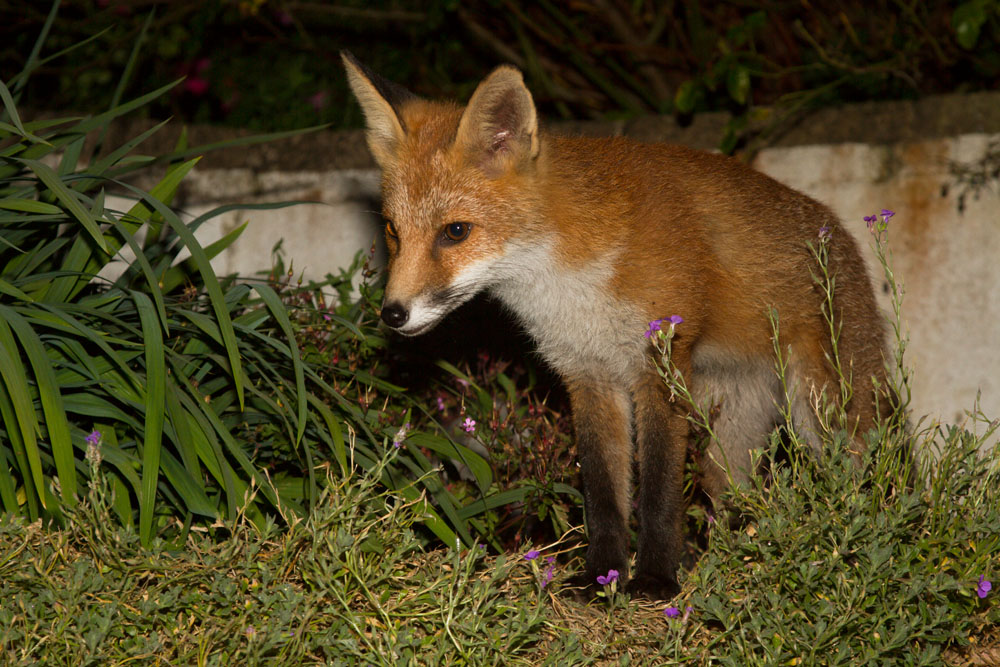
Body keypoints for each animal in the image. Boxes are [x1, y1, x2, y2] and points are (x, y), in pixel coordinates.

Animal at [341, 51, 890, 599]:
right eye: (392, 231)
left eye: (455, 232)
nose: (392, 313)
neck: (568, 282)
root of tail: (839, 234)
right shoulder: (588, 375)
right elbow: (603, 493)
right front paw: (599, 576)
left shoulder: (659, 366)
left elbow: (658, 493)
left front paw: (654, 579)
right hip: (731, 440)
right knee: (737, 503)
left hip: (824, 414)